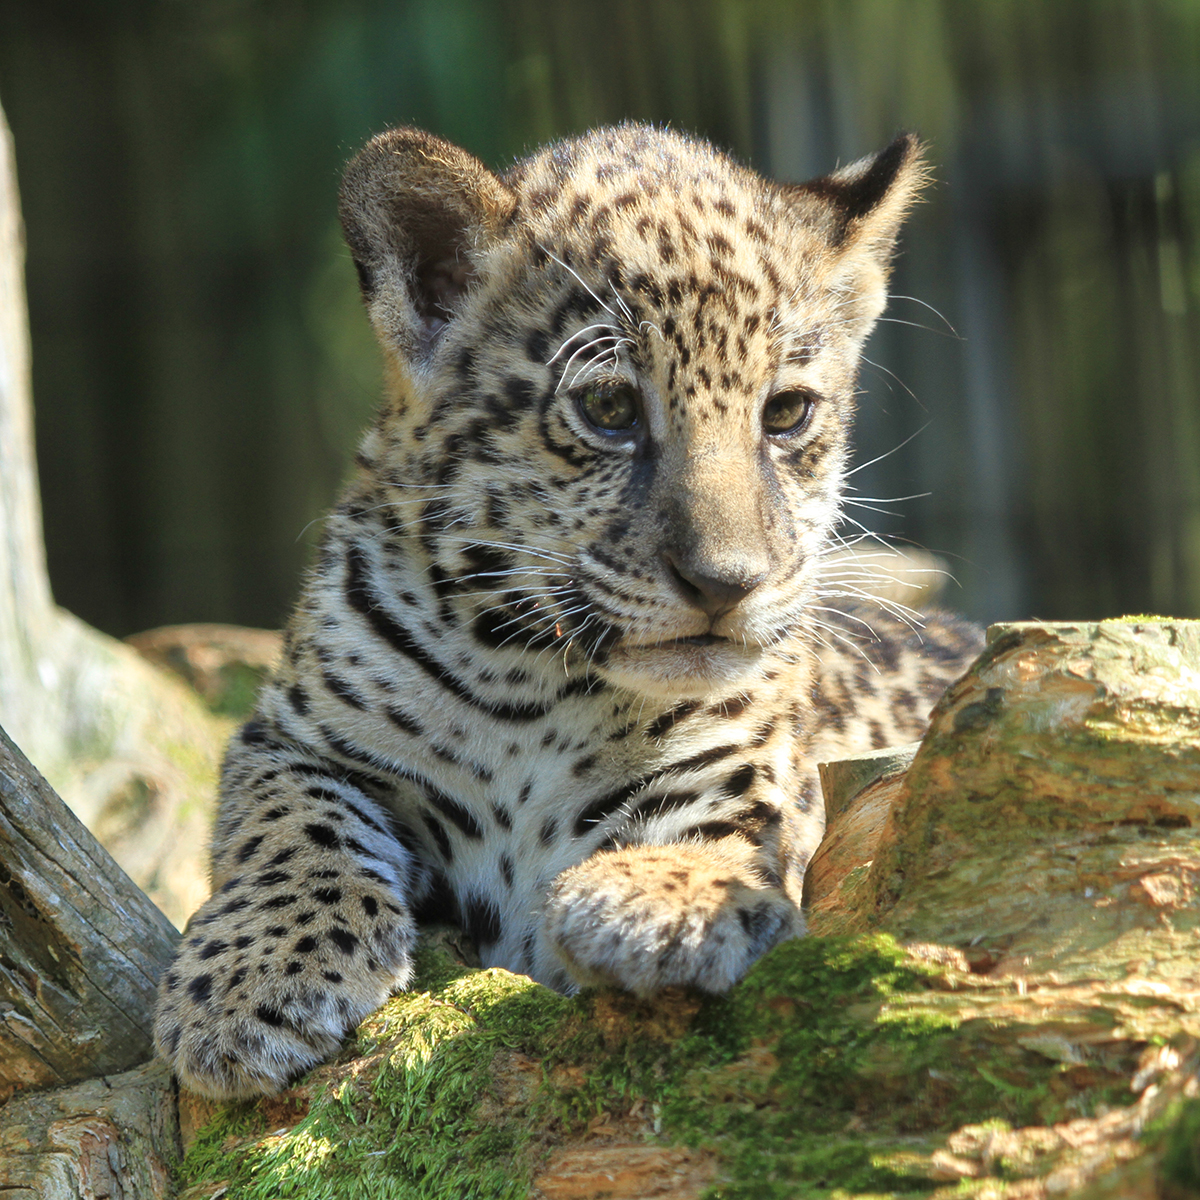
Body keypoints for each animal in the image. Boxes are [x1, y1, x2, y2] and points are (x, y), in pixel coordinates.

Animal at [153, 122, 983, 1099]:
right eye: (610, 407)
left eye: (785, 413)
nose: (728, 583)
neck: (527, 680)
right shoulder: (292, 734)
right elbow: (291, 822)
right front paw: (253, 979)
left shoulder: (747, 751)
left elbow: (732, 816)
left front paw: (672, 899)